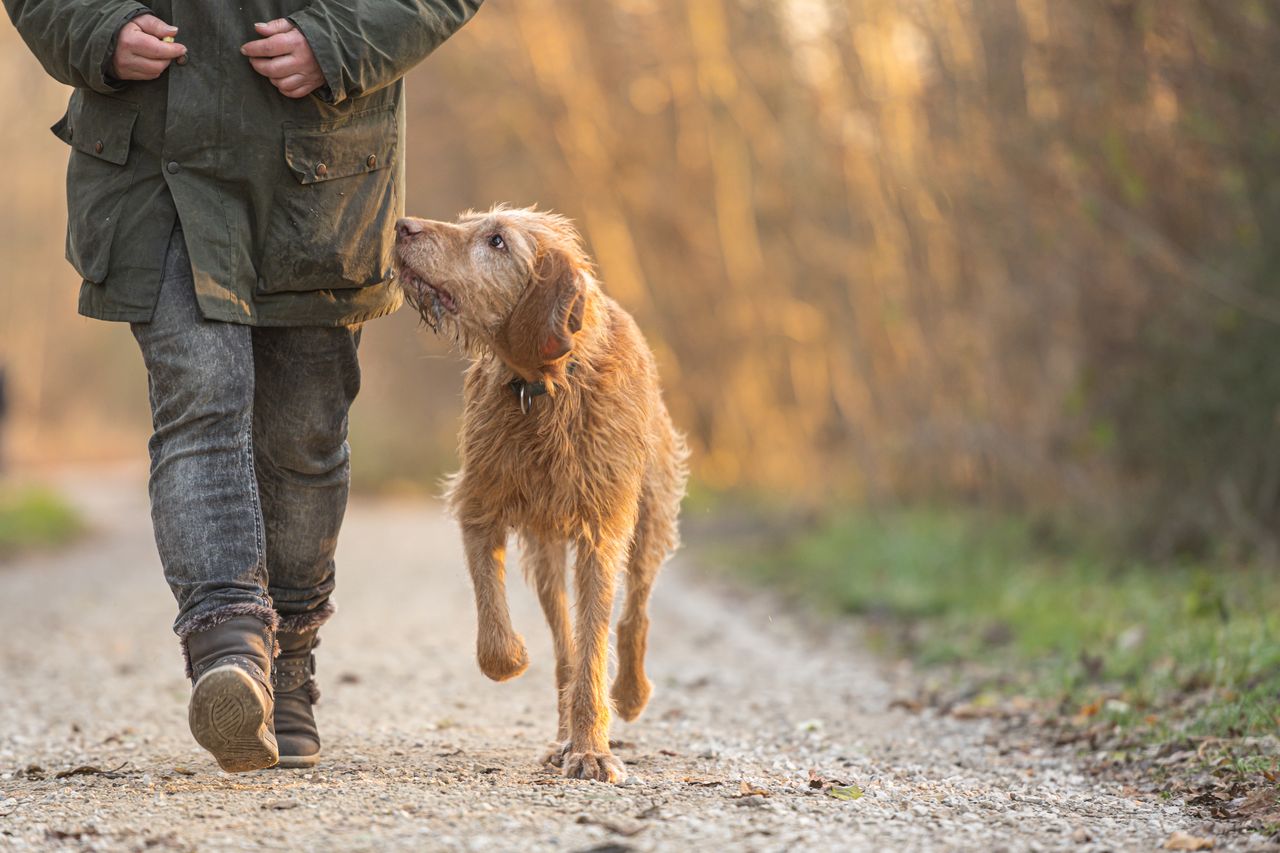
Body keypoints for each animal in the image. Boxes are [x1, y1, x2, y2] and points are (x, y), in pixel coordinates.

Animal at [394, 204, 691, 778]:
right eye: (469, 223)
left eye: (497, 241)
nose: (401, 226)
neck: (545, 386)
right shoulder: (479, 504)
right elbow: (499, 630)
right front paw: (515, 662)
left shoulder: (601, 529)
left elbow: (596, 640)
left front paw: (593, 750)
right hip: (548, 551)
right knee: (564, 646)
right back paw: (563, 733)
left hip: (651, 520)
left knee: (635, 614)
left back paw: (630, 694)